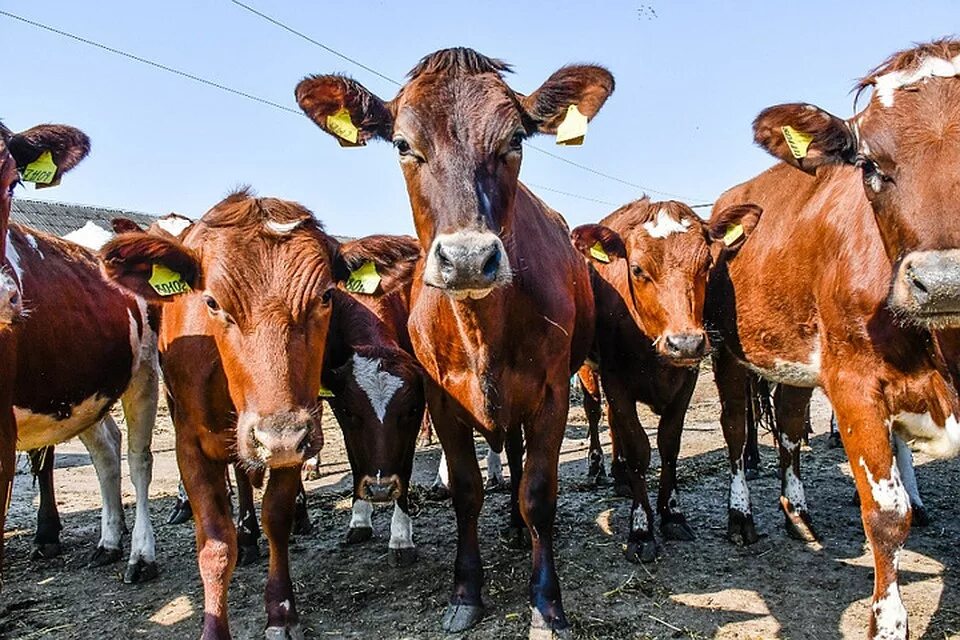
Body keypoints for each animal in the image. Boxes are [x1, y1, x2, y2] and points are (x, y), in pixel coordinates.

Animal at [296, 48, 616, 636]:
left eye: (516, 139)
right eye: (403, 144)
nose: (468, 258)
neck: (481, 328)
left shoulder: (552, 393)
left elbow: (539, 492)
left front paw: (546, 601)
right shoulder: (441, 398)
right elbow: (465, 489)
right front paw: (466, 592)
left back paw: (516, 527)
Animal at [568, 198, 756, 564]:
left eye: (707, 263)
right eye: (637, 269)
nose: (685, 343)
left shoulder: (686, 380)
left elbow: (669, 443)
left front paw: (672, 514)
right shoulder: (616, 380)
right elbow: (639, 448)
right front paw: (641, 528)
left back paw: (621, 476)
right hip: (587, 368)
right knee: (596, 411)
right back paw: (598, 467)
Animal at [704, 40, 960, 640]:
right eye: (868, 164)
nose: (942, 281)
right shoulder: (854, 384)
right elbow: (886, 516)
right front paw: (888, 624)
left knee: (790, 428)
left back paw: (796, 513)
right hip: (728, 352)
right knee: (735, 431)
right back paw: (740, 516)